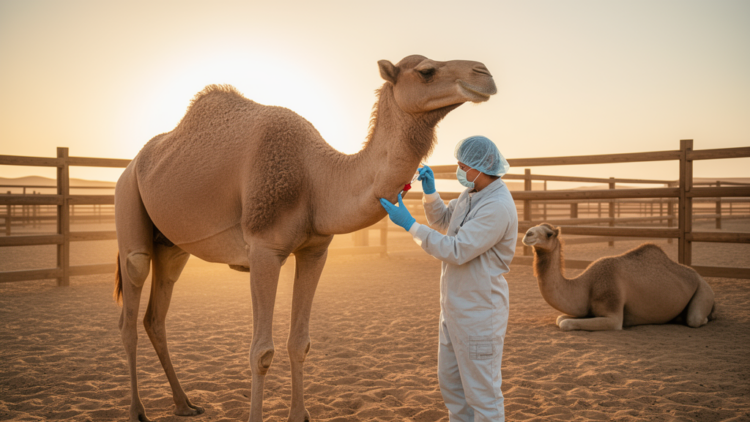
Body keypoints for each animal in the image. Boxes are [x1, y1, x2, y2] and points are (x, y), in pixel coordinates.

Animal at [113, 55, 497, 422]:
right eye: (427, 71)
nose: (484, 74)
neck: (316, 179)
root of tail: (132, 164)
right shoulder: (263, 251)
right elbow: (260, 351)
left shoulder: (315, 251)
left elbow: (299, 342)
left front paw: (299, 415)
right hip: (129, 205)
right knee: (130, 309)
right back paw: (136, 410)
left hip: (172, 247)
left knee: (155, 316)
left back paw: (184, 404)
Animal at [521, 223, 715, 331]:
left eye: (549, 234)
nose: (527, 234)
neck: (587, 285)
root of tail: (699, 276)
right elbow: (561, 319)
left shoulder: (613, 311)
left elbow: (566, 323)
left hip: (703, 290)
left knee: (695, 319)